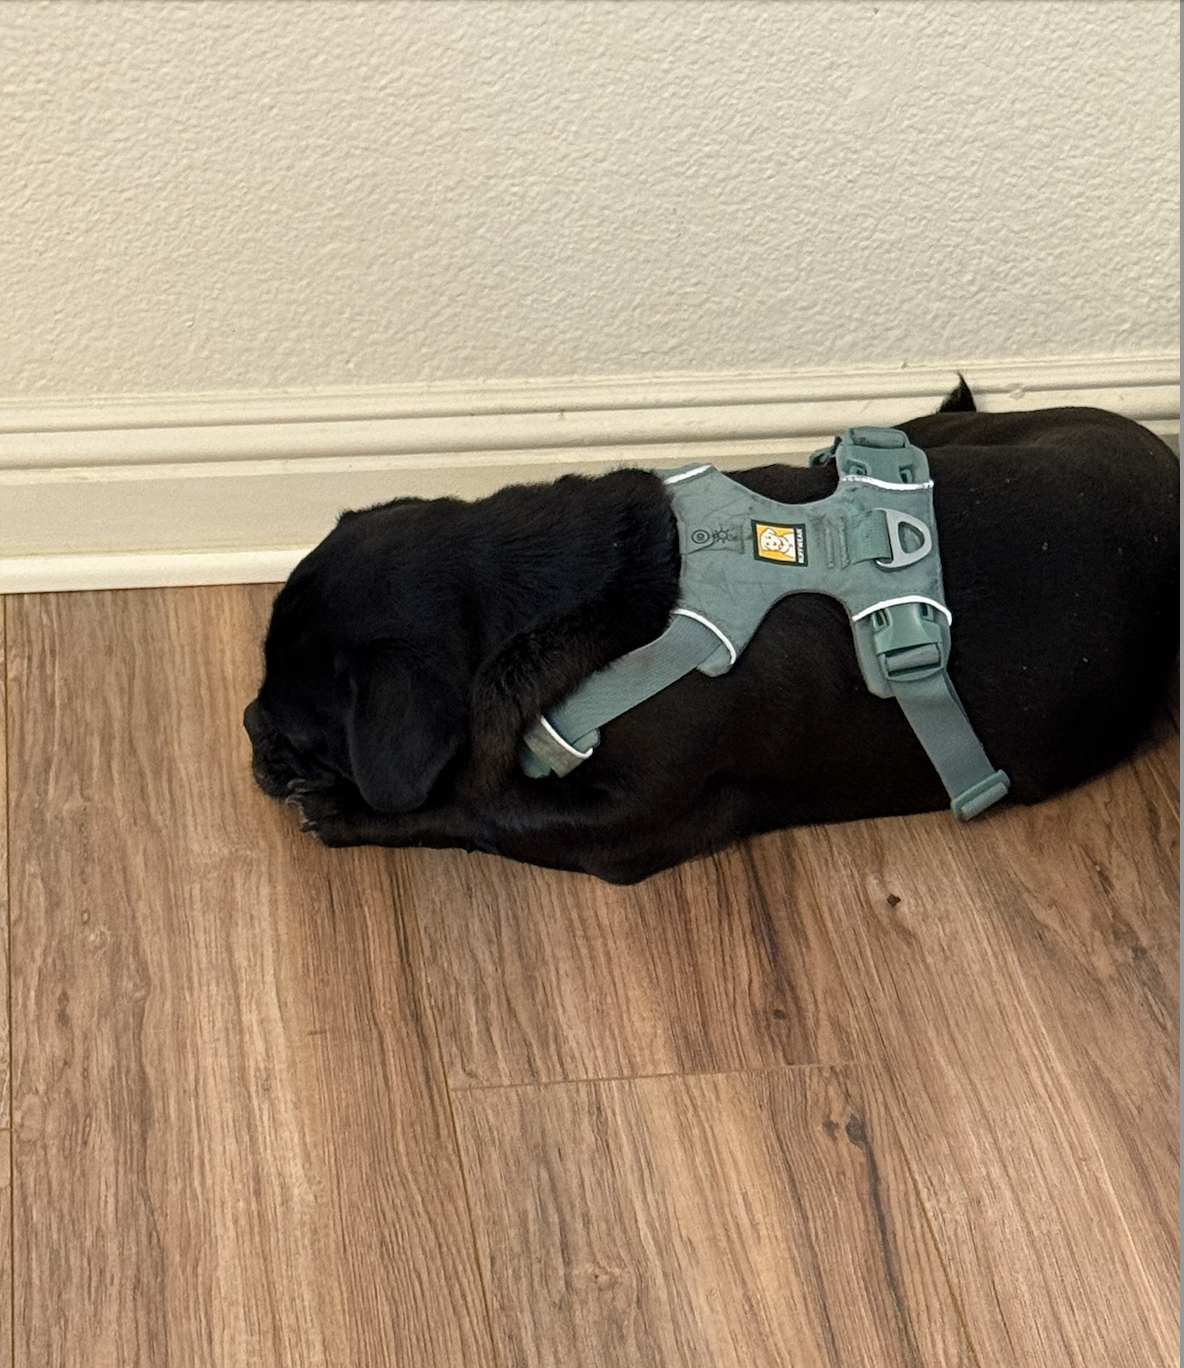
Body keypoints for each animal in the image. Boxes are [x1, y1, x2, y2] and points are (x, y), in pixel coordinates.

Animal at [245, 382, 1179, 883]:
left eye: (300, 734)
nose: (250, 728)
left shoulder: (622, 824)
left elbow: (472, 809)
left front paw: (347, 812)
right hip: (932, 438)